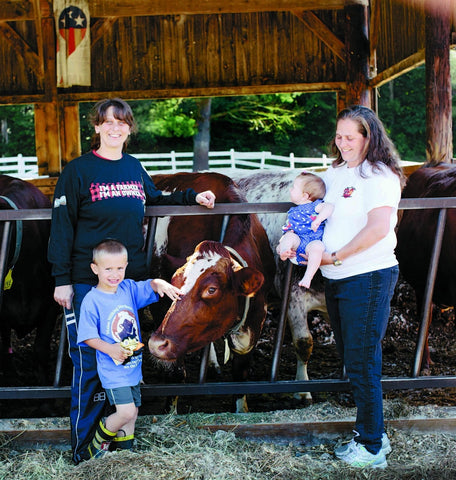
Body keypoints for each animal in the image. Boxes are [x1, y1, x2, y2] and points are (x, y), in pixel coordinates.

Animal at [147, 171, 274, 410]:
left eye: (212, 290)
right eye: (173, 282)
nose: (157, 343)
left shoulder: (255, 318)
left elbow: (240, 375)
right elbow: (176, 374)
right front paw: (170, 411)